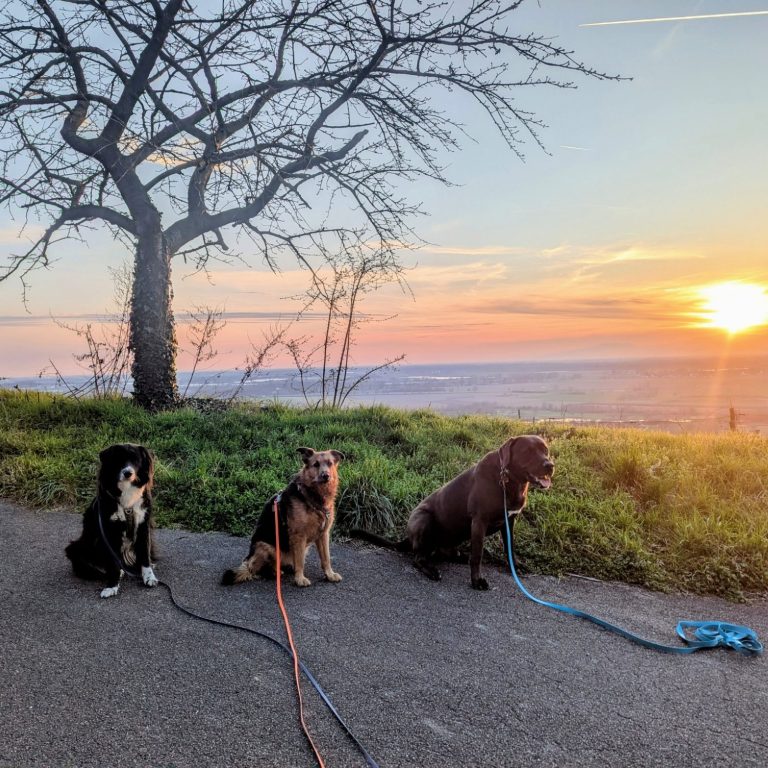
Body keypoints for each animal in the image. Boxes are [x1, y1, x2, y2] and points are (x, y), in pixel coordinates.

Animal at [65, 443, 158, 598]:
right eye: (119, 459)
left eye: (136, 460)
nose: (128, 473)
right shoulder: (109, 531)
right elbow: (114, 563)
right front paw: (111, 586)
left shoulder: (143, 526)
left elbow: (144, 555)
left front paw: (149, 577)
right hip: (76, 548)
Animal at [222, 447, 344, 588]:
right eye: (316, 464)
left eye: (330, 463)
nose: (326, 476)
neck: (312, 496)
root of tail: (247, 562)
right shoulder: (298, 536)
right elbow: (300, 561)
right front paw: (299, 578)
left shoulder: (323, 535)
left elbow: (326, 559)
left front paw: (329, 575)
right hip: (267, 547)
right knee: (258, 569)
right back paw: (274, 572)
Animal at [352, 435, 554, 589]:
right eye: (528, 451)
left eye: (546, 450)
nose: (550, 465)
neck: (508, 481)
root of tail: (407, 538)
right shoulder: (479, 521)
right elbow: (477, 555)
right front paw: (476, 580)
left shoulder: (510, 521)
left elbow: (509, 548)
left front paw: (515, 566)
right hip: (423, 519)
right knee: (418, 558)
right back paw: (431, 570)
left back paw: (459, 555)